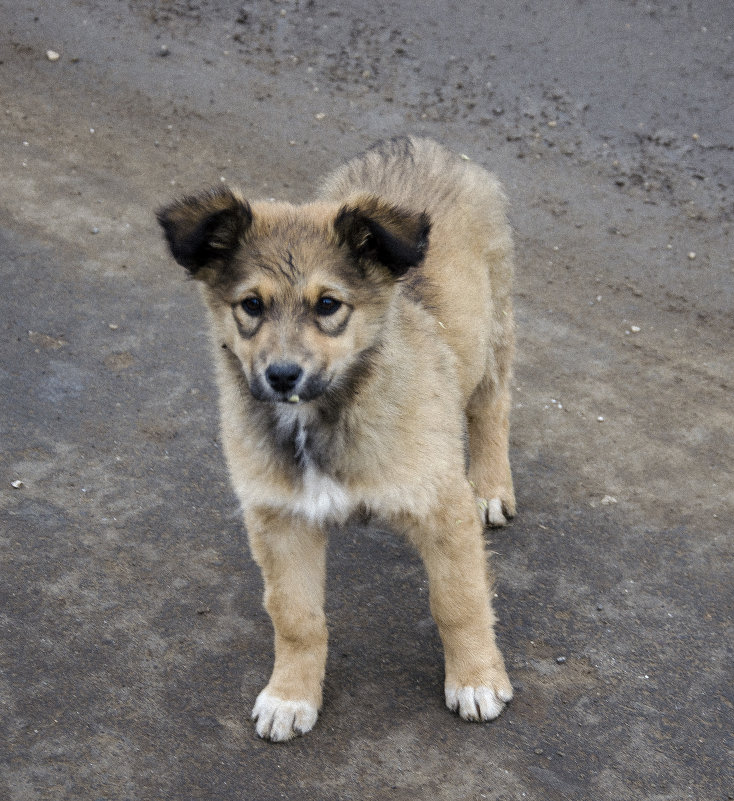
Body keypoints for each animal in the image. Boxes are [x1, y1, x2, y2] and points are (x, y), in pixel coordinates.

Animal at [158, 136, 516, 736]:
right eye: (251, 305)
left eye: (328, 305)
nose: (282, 376)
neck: (322, 417)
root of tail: (415, 145)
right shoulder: (280, 521)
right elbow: (296, 618)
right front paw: (290, 696)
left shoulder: (443, 509)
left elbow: (458, 600)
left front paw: (475, 679)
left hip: (495, 327)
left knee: (493, 406)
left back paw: (492, 486)